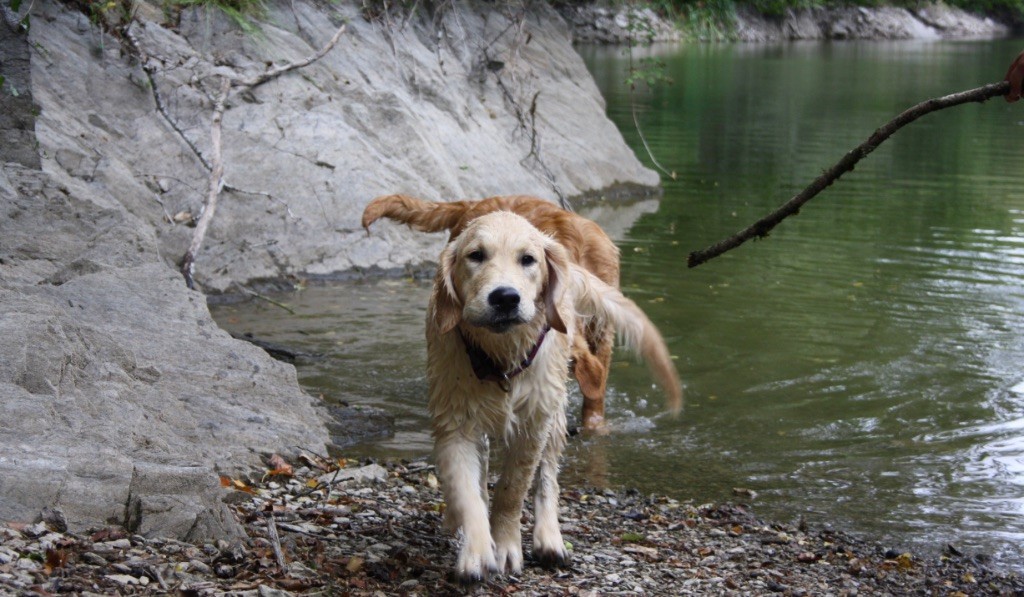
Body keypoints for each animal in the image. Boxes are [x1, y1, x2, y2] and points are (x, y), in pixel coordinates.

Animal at [423, 212, 679, 581]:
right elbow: (468, 492)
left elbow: (513, 491)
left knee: (547, 479)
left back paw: (549, 539)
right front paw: (476, 551)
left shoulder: (534, 423)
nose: (505, 297)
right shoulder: (454, 420)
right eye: (476, 255)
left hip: (554, 411)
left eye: (528, 259)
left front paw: (506, 546)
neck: (501, 360)